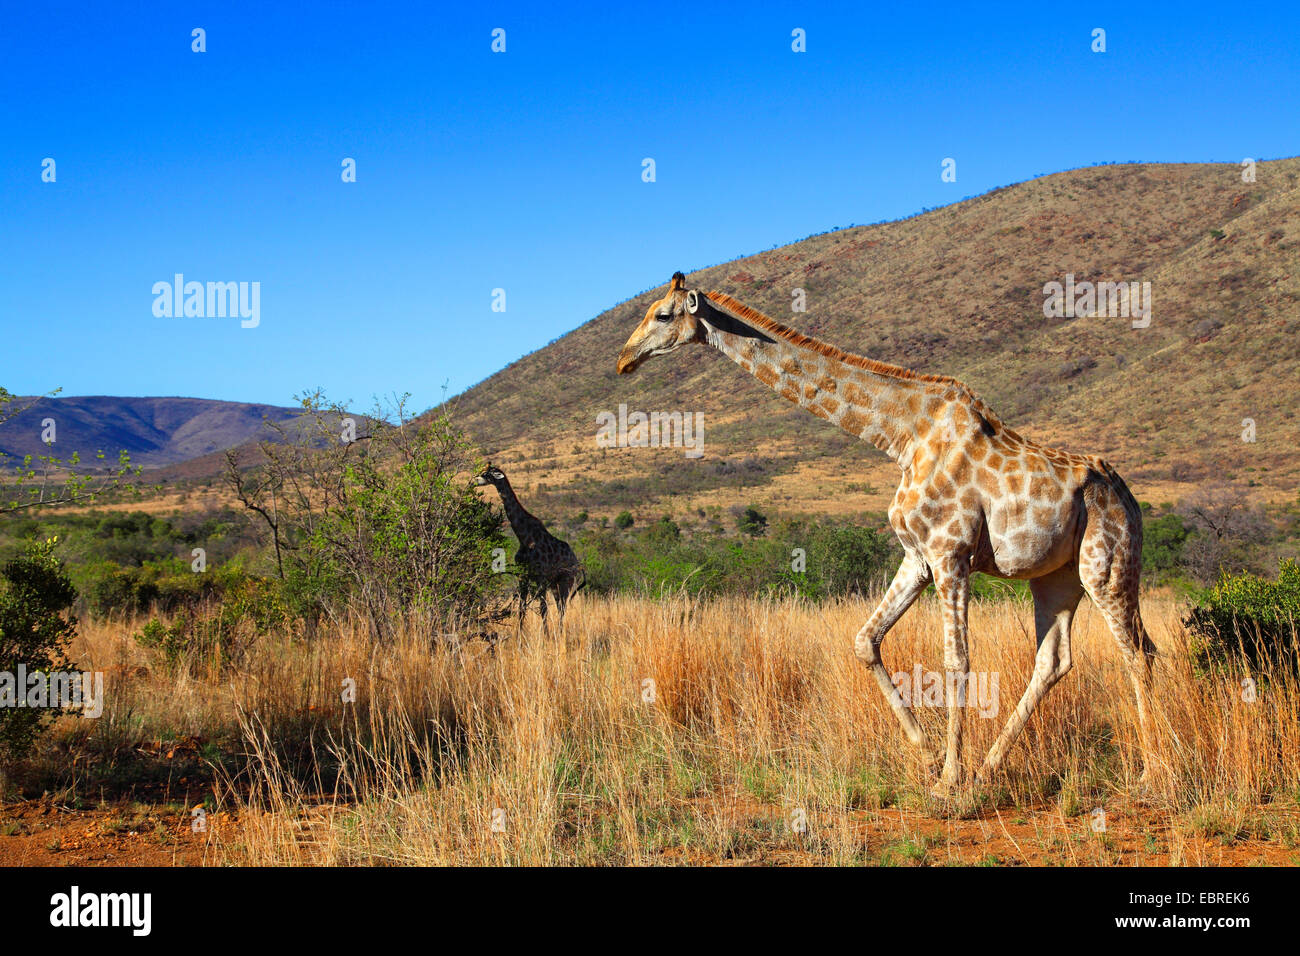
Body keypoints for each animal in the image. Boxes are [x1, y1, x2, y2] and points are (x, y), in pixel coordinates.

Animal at [474, 465, 585, 630]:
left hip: (567, 580)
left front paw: (545, 635)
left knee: (562, 608)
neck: (525, 538)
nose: (474, 480)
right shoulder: (523, 576)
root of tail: (576, 562)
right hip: (555, 583)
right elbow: (521, 608)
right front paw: (520, 635)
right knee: (560, 606)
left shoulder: (541, 577)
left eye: (486, 474)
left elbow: (543, 609)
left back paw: (559, 632)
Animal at [616, 273, 1158, 794]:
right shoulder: (917, 557)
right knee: (1055, 661)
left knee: (1137, 653)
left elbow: (956, 661)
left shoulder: (950, 554)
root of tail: (1130, 498)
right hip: (1056, 577)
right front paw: (929, 754)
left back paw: (1151, 772)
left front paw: (949, 779)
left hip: (1107, 567)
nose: (624, 360)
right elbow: (865, 640)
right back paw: (989, 767)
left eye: (662, 315)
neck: (902, 437)